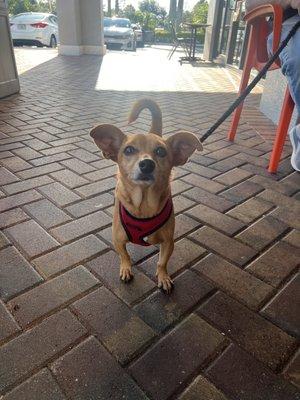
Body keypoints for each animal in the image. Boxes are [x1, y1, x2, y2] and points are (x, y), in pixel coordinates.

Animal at [89, 99, 202, 294]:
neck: (144, 205)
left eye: (161, 152)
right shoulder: (117, 240)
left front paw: (163, 277)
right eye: (128, 150)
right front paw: (126, 268)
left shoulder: (168, 242)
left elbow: (162, 262)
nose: (147, 164)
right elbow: (124, 255)